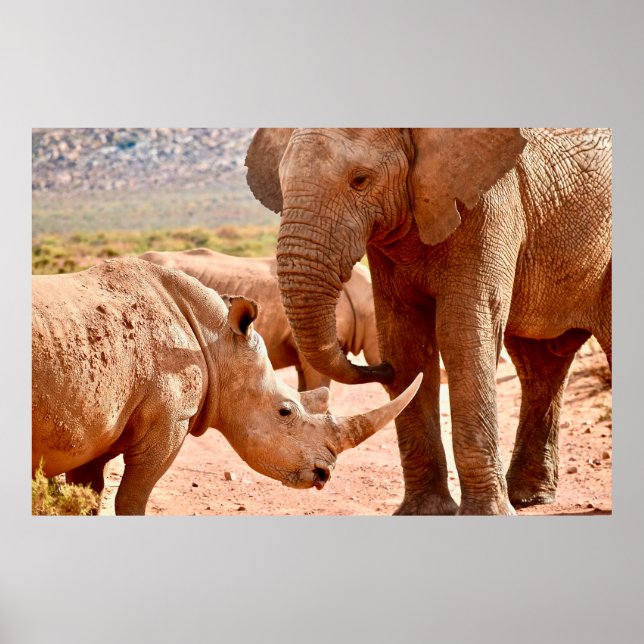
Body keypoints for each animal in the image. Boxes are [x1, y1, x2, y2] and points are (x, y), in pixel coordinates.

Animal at [245, 128, 612, 516]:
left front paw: (485, 515)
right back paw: (528, 498)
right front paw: (424, 512)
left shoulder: (490, 203)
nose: (381, 370)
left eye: (360, 180)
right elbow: (405, 340)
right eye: (282, 184)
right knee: (539, 364)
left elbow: (461, 333)